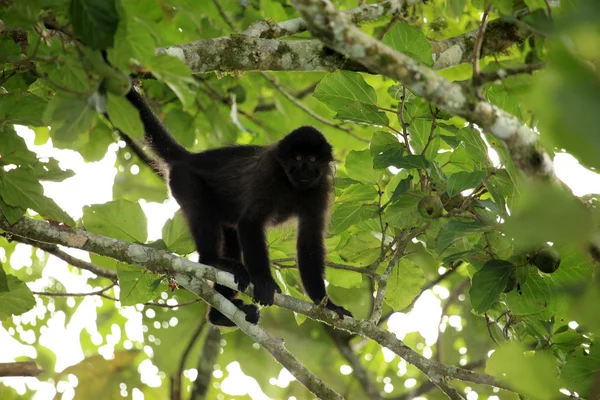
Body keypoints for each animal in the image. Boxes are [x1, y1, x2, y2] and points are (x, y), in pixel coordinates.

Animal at [126, 86, 352, 324]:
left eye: (312, 159)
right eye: (298, 157)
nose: (304, 170)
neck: (293, 187)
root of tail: (189, 158)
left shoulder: (320, 189)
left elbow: (310, 240)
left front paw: (326, 303)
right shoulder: (269, 173)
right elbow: (251, 222)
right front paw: (263, 280)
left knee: (232, 238)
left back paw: (219, 315)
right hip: (184, 180)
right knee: (203, 216)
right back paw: (214, 261)